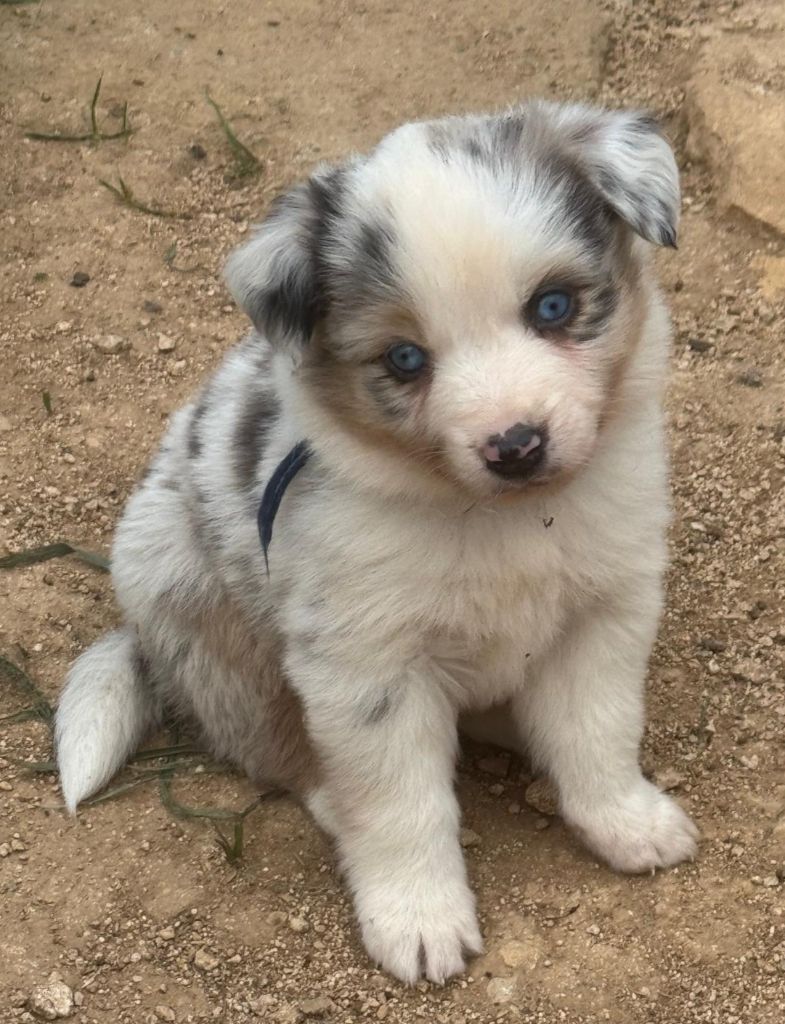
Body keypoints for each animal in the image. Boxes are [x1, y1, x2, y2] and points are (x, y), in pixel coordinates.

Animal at [55, 100, 699, 984]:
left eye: (553, 308)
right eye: (403, 358)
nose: (515, 445)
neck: (495, 516)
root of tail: (141, 640)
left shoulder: (604, 612)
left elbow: (598, 732)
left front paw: (626, 823)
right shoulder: (362, 664)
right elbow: (401, 801)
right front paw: (417, 918)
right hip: (197, 603)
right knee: (280, 749)